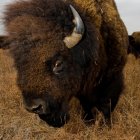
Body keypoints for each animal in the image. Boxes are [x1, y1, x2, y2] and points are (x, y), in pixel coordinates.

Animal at [0, 0, 129, 127]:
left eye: (58, 63)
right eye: (18, 64)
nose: (33, 107)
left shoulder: (113, 81)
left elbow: (107, 107)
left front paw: (105, 126)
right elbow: (87, 106)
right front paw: (89, 122)